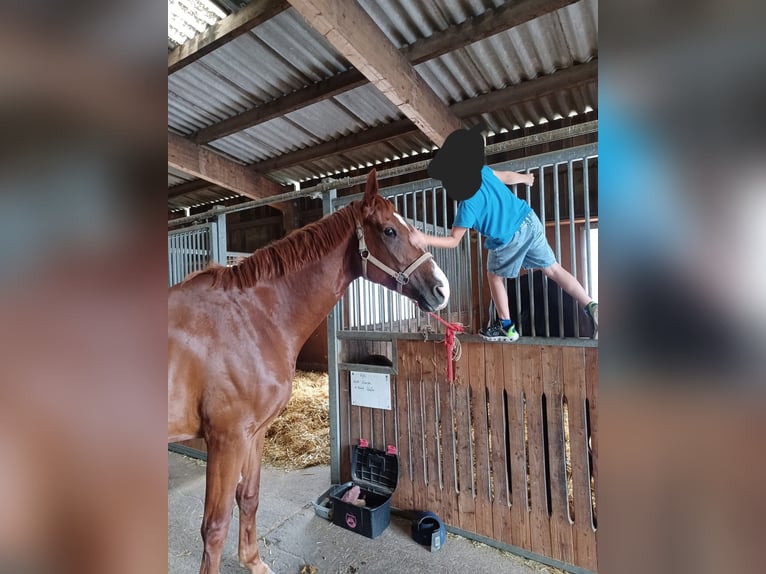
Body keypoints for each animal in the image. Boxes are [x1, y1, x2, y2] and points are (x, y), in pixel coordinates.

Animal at [168, 171, 450, 574]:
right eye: (389, 231)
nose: (441, 288)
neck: (251, 318)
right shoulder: (226, 439)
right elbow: (215, 525)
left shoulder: (254, 434)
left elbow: (249, 497)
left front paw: (254, 562)